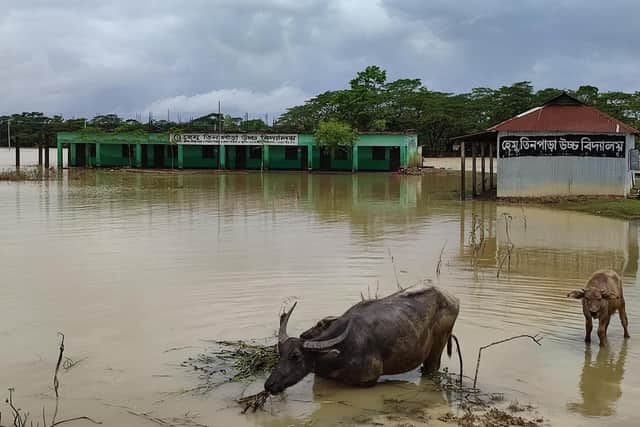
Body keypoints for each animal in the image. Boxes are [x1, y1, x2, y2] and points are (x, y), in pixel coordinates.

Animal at [262, 286, 458, 396]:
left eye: (296, 356)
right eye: (280, 353)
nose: (269, 385)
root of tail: (452, 299)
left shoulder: (368, 381)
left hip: (438, 346)